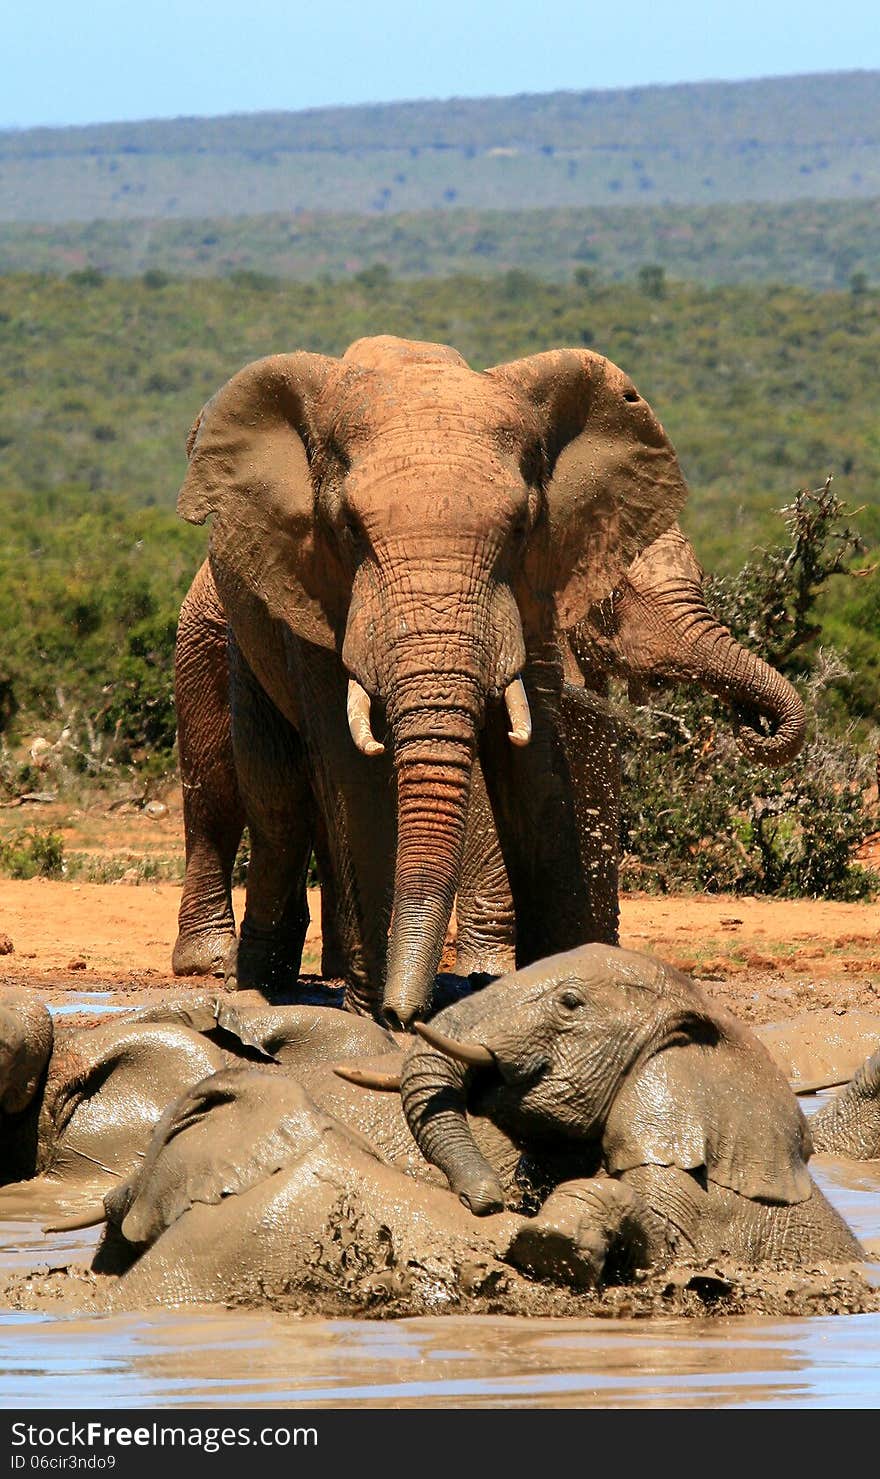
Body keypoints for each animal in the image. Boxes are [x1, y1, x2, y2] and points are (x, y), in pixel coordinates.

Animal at [173, 335, 695, 1029]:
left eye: (521, 529)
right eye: (347, 529)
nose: (408, 1016)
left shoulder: (541, 586)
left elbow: (537, 759)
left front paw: (559, 978)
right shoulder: (315, 593)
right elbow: (354, 769)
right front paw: (372, 1016)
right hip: (225, 630)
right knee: (262, 799)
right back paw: (241, 976)